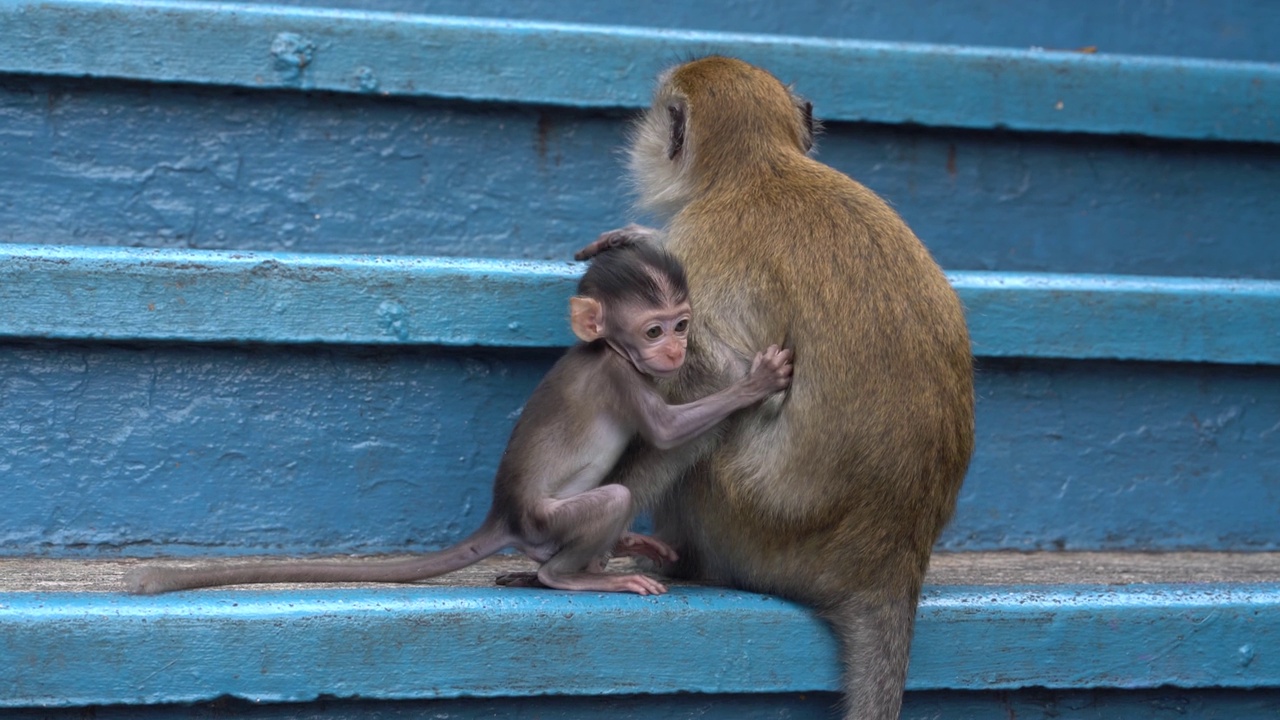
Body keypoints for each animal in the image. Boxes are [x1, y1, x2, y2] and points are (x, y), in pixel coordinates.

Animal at [127, 240, 788, 594]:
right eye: (653, 331)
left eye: (682, 324)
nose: (674, 350)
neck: (611, 350)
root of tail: (505, 516)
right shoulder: (621, 377)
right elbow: (667, 430)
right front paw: (754, 384)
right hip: (545, 522)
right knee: (608, 502)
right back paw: (574, 575)